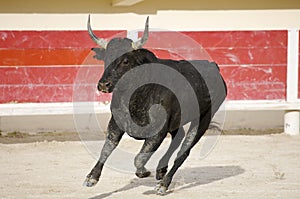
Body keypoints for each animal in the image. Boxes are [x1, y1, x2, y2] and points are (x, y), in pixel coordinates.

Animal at [83, 15, 226, 194]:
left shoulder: (158, 131)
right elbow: (107, 148)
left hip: (204, 118)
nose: (103, 84)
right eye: (107, 58)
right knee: (178, 137)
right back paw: (160, 171)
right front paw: (92, 177)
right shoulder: (115, 123)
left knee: (184, 150)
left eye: (125, 61)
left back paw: (163, 184)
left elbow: (139, 157)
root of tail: (213, 65)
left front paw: (144, 171)